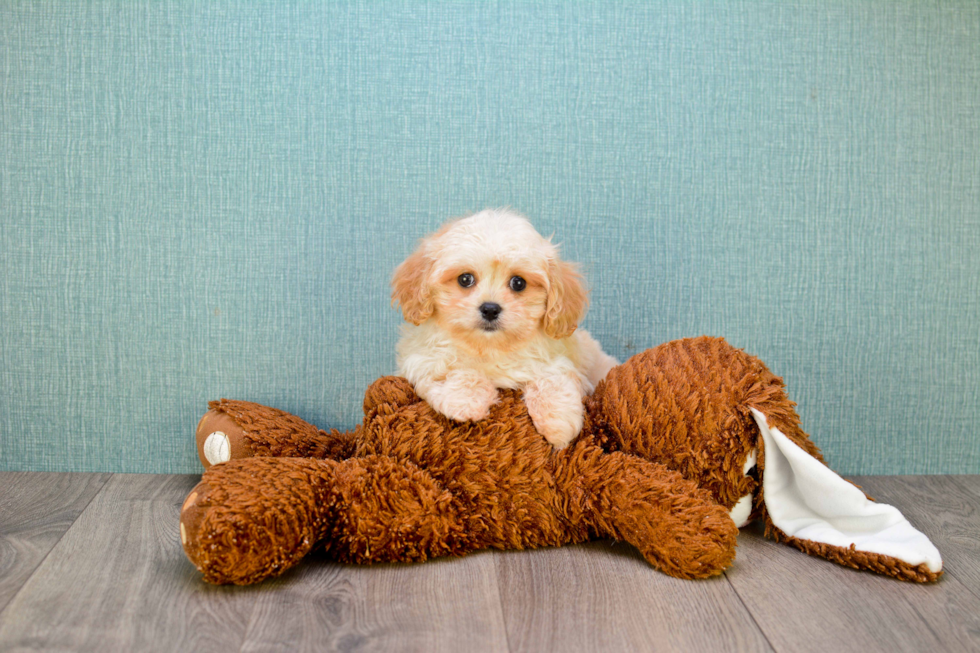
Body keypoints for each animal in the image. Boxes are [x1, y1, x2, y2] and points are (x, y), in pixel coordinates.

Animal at [394, 209, 616, 448]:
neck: (490, 347)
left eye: (518, 283)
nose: (490, 309)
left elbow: (553, 376)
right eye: (465, 279)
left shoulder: (561, 360)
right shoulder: (423, 359)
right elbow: (452, 370)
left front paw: (558, 423)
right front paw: (466, 402)